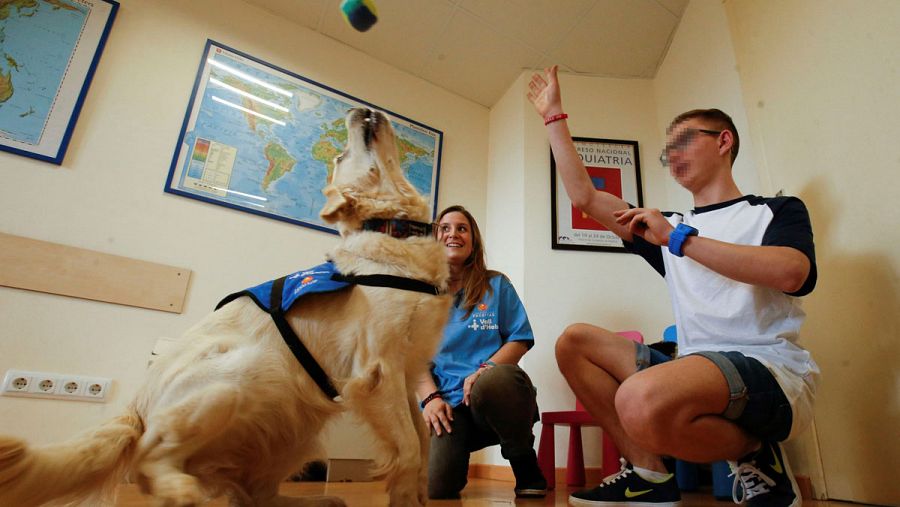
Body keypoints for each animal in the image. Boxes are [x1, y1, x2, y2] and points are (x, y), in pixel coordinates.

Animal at [0, 108, 450, 507]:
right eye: (340, 157)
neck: (393, 231)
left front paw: (419, 495)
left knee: (251, 493)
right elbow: (409, 447)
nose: (357, 111)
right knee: (148, 455)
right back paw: (178, 489)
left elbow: (423, 441)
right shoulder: (378, 368)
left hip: (294, 420)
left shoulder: (408, 368)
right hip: (243, 374)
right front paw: (405, 500)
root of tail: (136, 404)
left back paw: (312, 501)